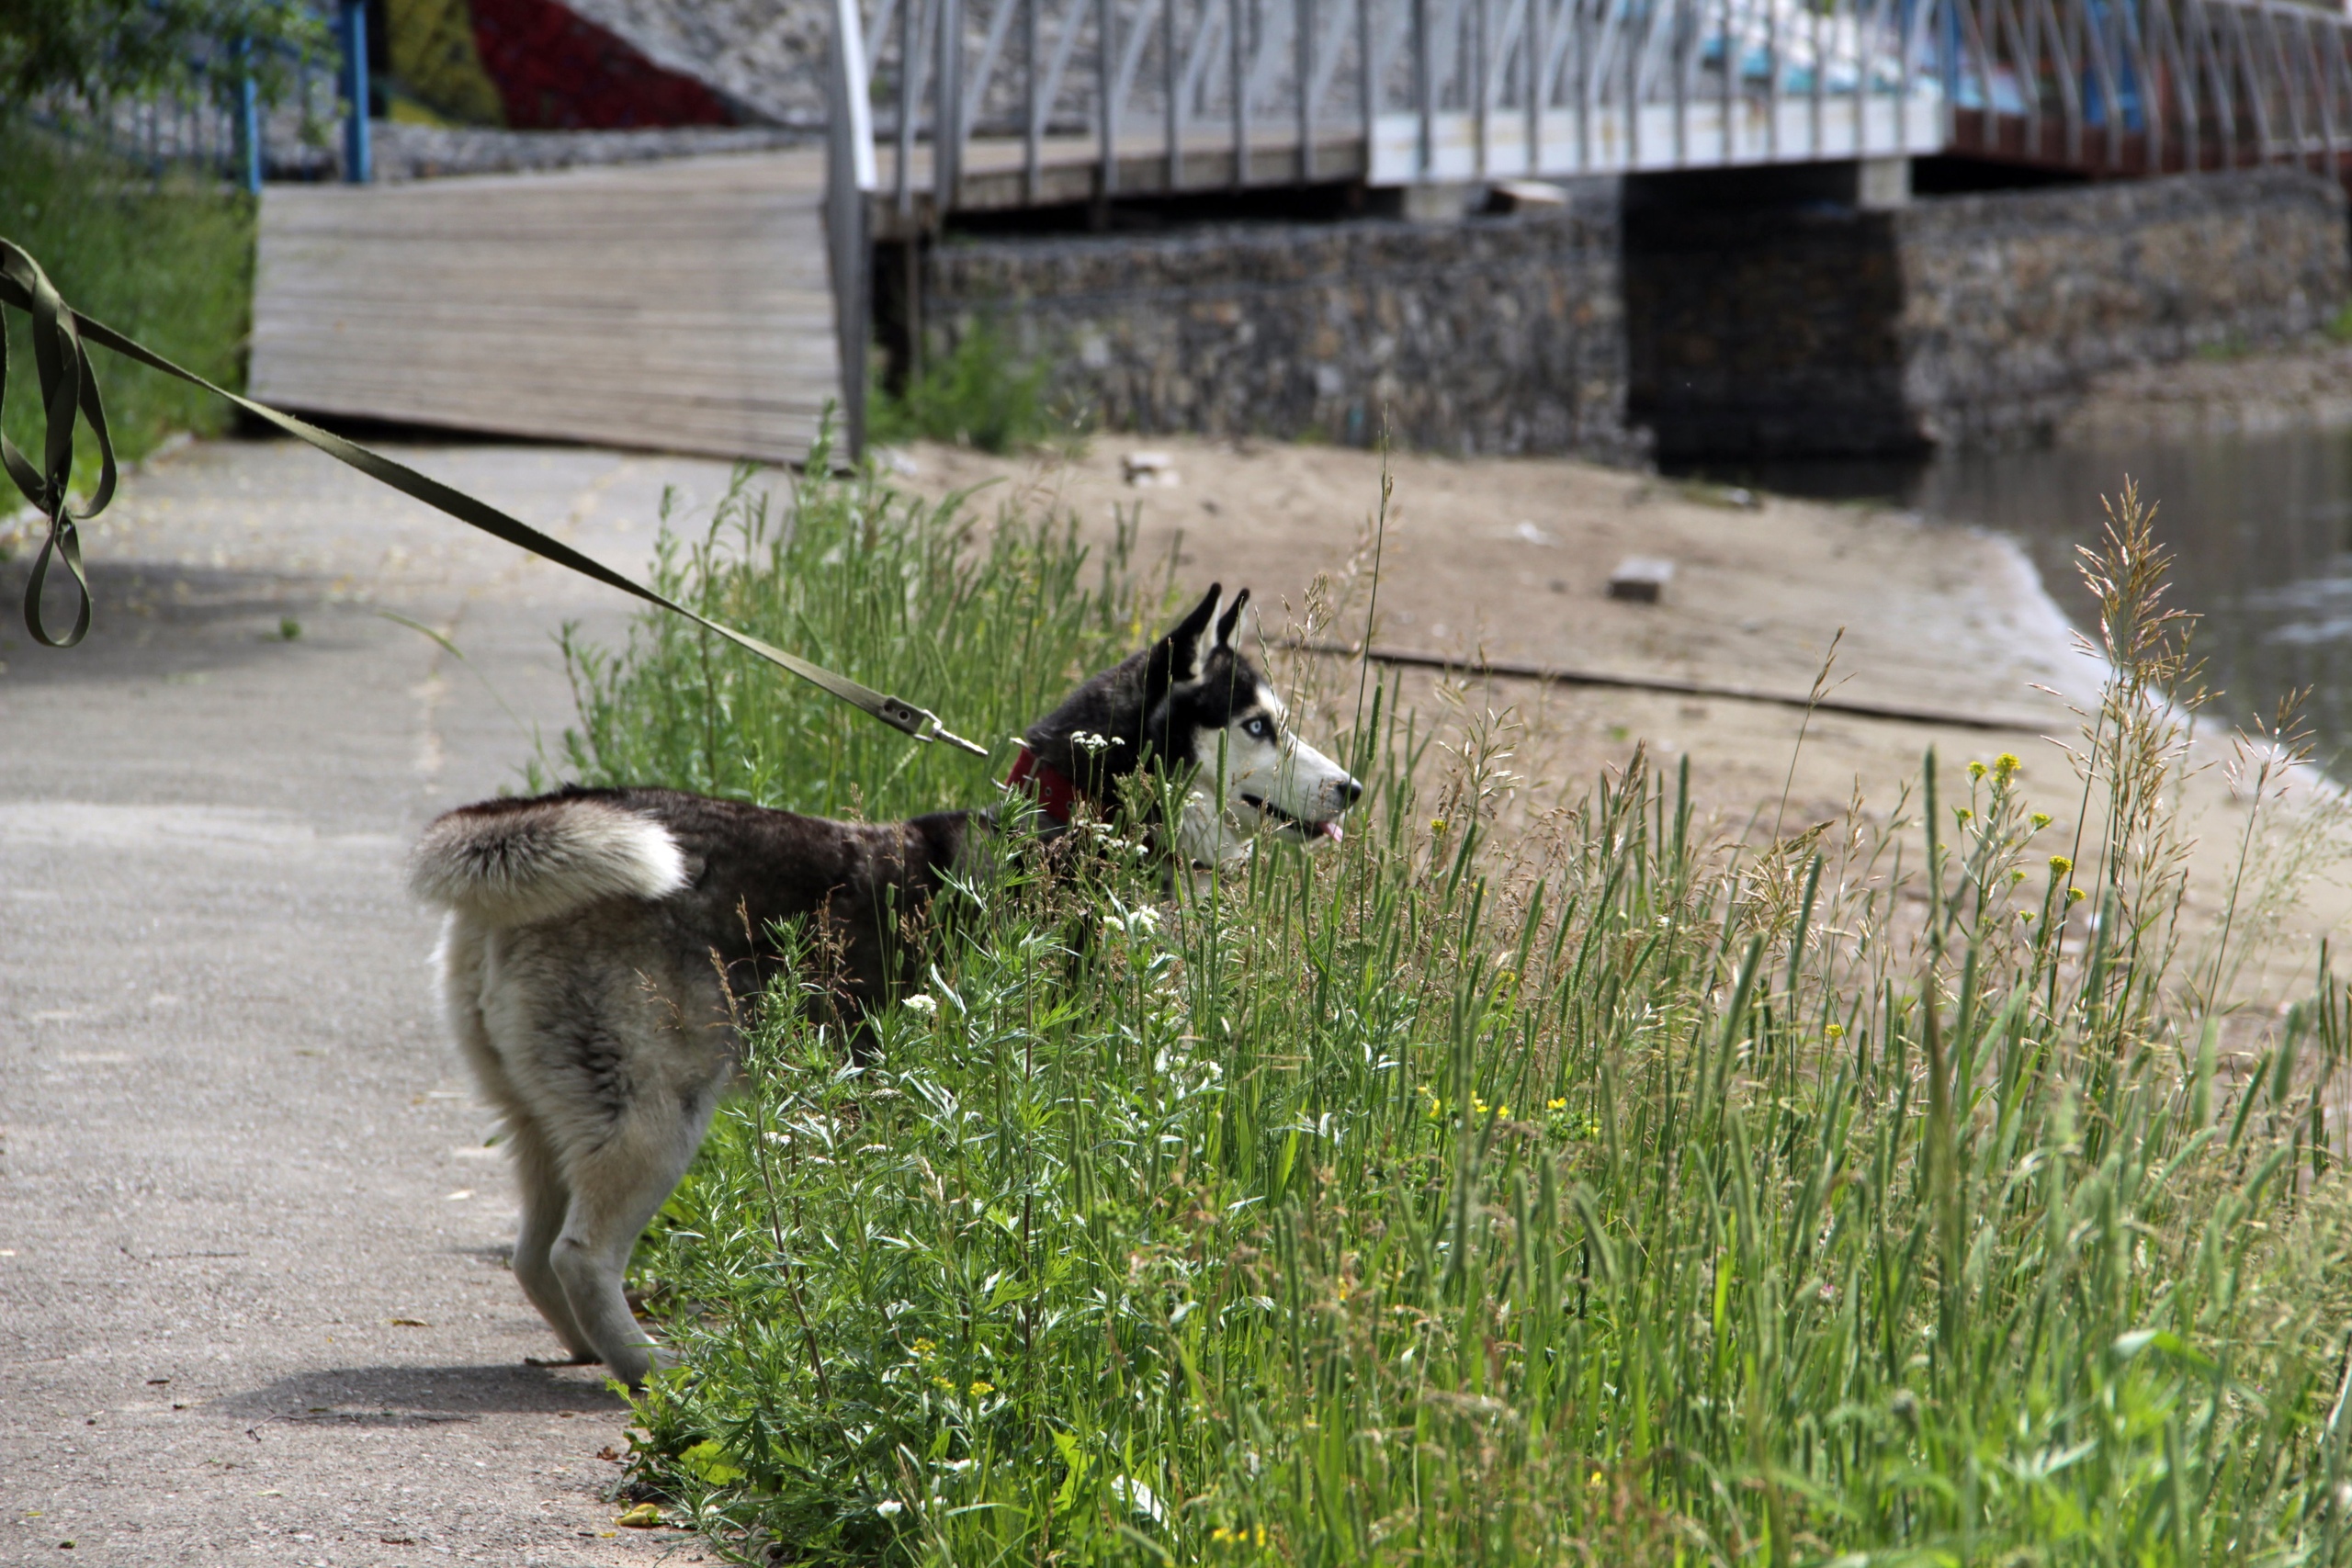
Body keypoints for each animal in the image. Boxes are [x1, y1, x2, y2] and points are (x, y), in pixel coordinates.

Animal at [413, 582, 1354, 1382]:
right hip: (656, 1113)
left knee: (533, 1254)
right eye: (1259, 725)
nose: (1351, 786)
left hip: (550, 1116)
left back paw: (588, 1351)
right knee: (580, 1254)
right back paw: (654, 1369)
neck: (1059, 825)